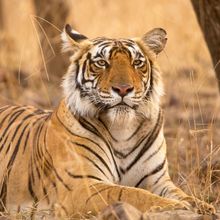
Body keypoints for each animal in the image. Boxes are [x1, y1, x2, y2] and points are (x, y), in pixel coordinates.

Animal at [0, 24, 215, 218]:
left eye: (137, 62)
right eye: (102, 63)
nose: (123, 89)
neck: (122, 129)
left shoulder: (157, 180)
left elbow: (182, 194)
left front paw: (202, 206)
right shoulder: (82, 186)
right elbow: (131, 194)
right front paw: (177, 207)